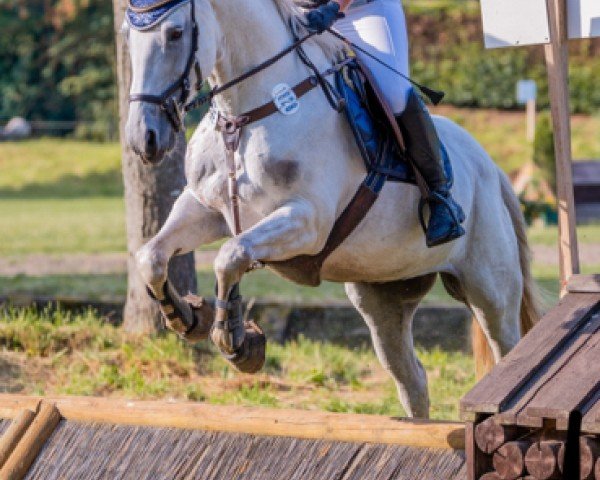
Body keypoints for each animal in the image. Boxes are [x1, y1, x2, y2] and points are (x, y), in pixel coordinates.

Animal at [124, 0, 540, 416]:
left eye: (175, 33)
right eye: (128, 38)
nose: (144, 138)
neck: (247, 115)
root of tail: (492, 169)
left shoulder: (307, 222)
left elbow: (230, 255)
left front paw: (236, 342)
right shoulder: (205, 208)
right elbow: (152, 256)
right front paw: (188, 318)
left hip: (491, 293)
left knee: (505, 347)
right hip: (383, 297)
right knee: (413, 381)